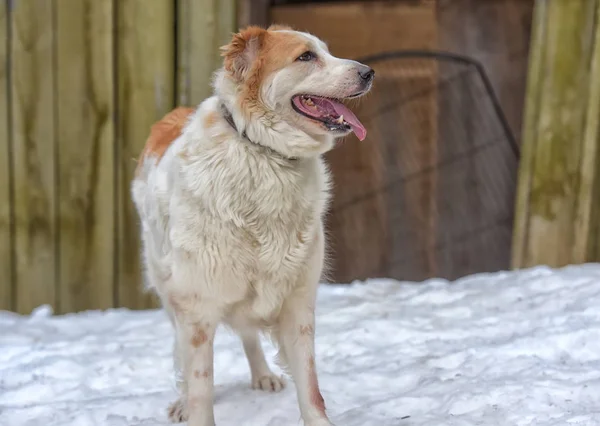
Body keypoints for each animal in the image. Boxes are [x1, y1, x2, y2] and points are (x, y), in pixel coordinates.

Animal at [134, 25, 372, 424]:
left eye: (326, 51)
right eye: (306, 56)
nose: (369, 72)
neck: (262, 152)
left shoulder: (297, 303)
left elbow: (311, 390)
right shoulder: (196, 307)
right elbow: (200, 388)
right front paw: (191, 405)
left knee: (247, 334)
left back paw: (262, 375)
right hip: (170, 290)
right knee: (181, 353)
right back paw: (181, 401)